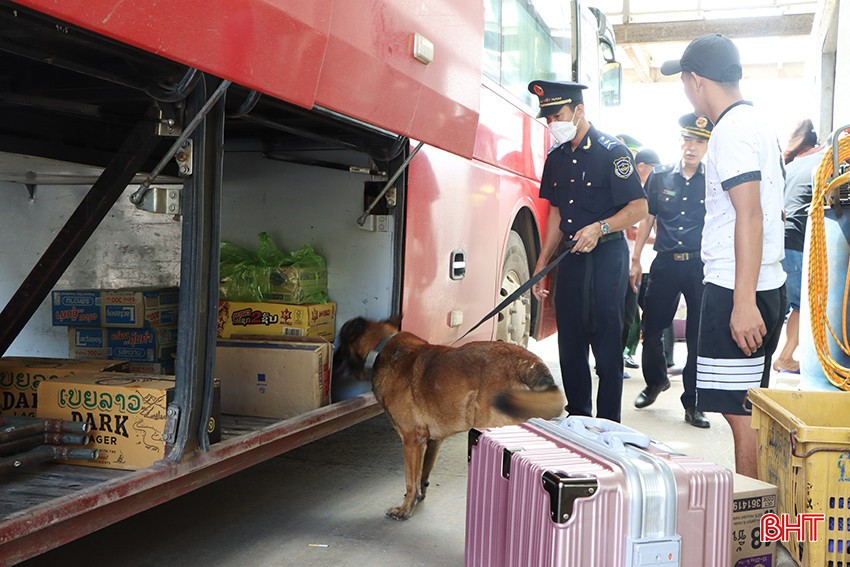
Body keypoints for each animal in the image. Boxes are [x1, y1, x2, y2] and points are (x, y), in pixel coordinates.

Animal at [332, 318, 564, 520]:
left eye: (340, 343)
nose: (332, 360)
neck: (381, 347)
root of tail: (529, 365)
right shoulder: (432, 441)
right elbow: (421, 475)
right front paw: (417, 498)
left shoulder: (411, 440)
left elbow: (410, 479)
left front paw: (404, 509)